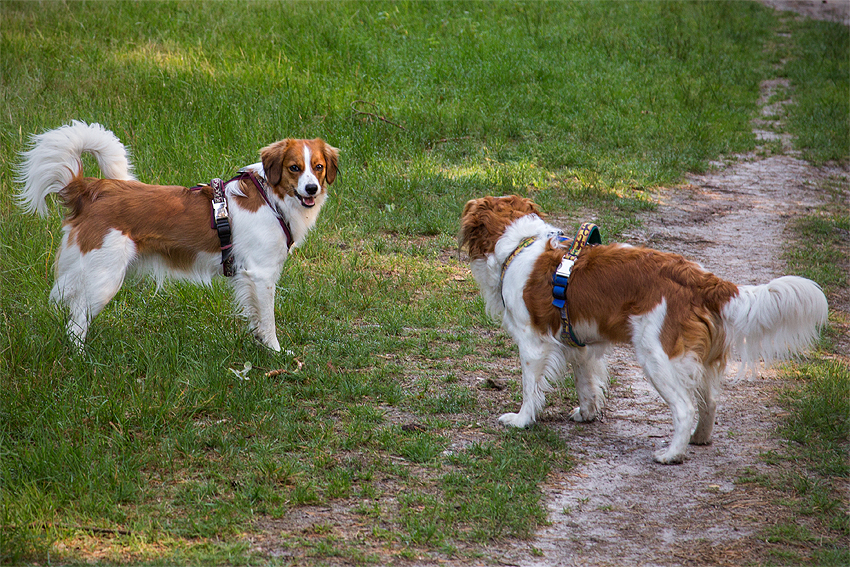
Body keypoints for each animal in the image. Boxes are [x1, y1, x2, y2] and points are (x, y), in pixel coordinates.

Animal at [14, 121, 336, 350]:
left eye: (318, 167)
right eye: (294, 168)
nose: (311, 189)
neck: (273, 198)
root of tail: (92, 189)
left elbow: (256, 318)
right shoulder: (261, 273)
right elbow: (268, 321)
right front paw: (276, 353)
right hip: (103, 278)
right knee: (76, 323)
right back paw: (82, 360)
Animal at [460, 194, 824, 462]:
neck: (520, 245)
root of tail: (701, 279)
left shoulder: (533, 343)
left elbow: (530, 388)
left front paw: (521, 421)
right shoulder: (578, 342)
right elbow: (585, 383)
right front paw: (587, 414)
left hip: (656, 357)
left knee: (686, 408)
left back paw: (671, 454)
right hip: (697, 361)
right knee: (709, 402)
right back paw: (699, 440)